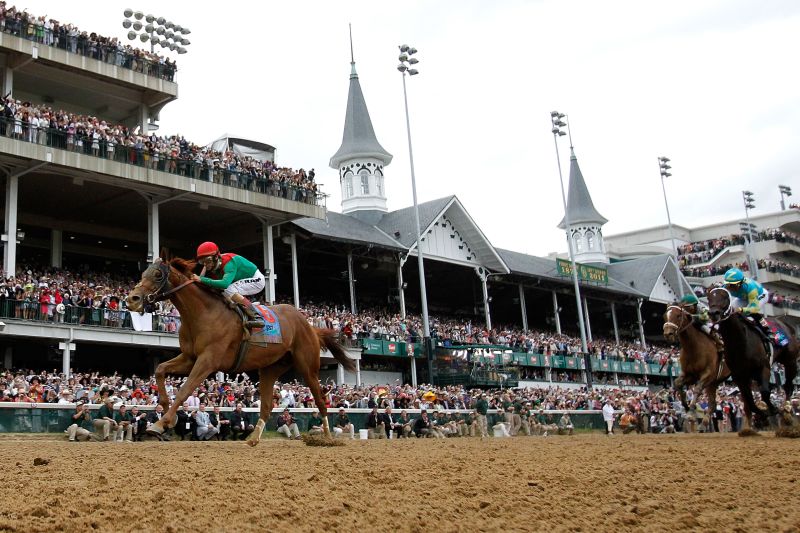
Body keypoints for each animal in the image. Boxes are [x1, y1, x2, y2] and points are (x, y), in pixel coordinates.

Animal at [126, 258, 354, 444]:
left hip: (308, 367)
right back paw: (253, 439)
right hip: (270, 368)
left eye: (157, 274)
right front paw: (168, 417)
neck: (202, 313)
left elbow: (185, 389)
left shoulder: (208, 360)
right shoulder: (190, 357)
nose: (131, 299)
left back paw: (327, 438)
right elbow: (160, 370)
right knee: (267, 406)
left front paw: (161, 422)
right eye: (143, 273)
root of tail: (309, 325)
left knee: (321, 401)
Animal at [708, 286, 796, 432]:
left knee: (788, 385)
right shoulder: (740, 376)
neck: (739, 341)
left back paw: (786, 409)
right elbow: (749, 401)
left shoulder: (763, 367)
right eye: (709, 297)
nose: (713, 313)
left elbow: (765, 392)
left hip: (790, 360)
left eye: (725, 297)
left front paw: (774, 410)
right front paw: (762, 415)